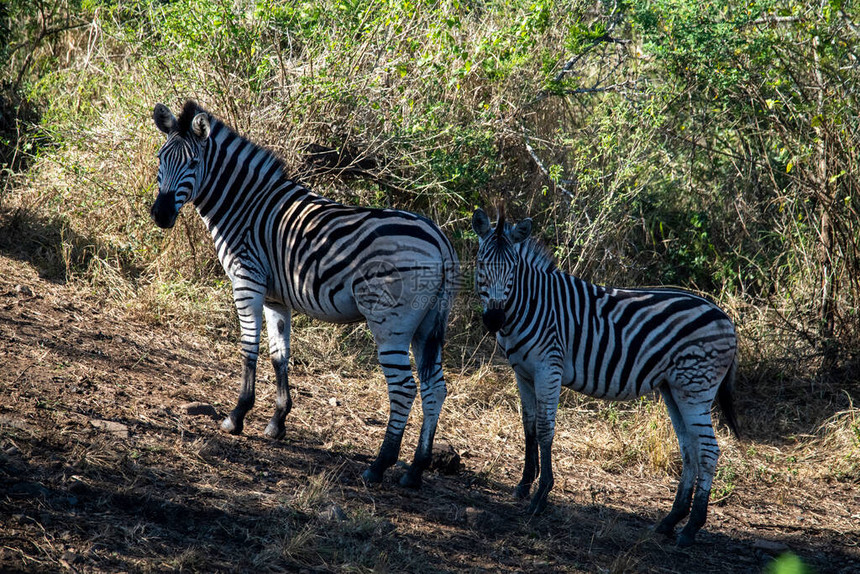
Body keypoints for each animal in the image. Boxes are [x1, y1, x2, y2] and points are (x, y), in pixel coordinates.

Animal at [151, 100, 460, 490]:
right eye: (161, 158)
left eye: (193, 163)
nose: (160, 215)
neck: (244, 205)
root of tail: (440, 239)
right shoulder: (276, 298)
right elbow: (279, 355)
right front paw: (277, 422)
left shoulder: (247, 281)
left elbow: (249, 349)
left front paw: (237, 416)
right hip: (428, 324)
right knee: (435, 388)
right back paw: (416, 469)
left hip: (390, 322)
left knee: (405, 388)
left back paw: (379, 465)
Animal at [470, 208, 740, 548]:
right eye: (481, 264)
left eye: (513, 269)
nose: (494, 319)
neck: (530, 305)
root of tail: (724, 315)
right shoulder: (523, 373)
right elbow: (528, 425)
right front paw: (523, 485)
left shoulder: (548, 367)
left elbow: (545, 429)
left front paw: (541, 494)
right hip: (674, 388)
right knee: (689, 447)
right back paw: (670, 521)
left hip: (696, 387)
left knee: (708, 450)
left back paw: (691, 529)